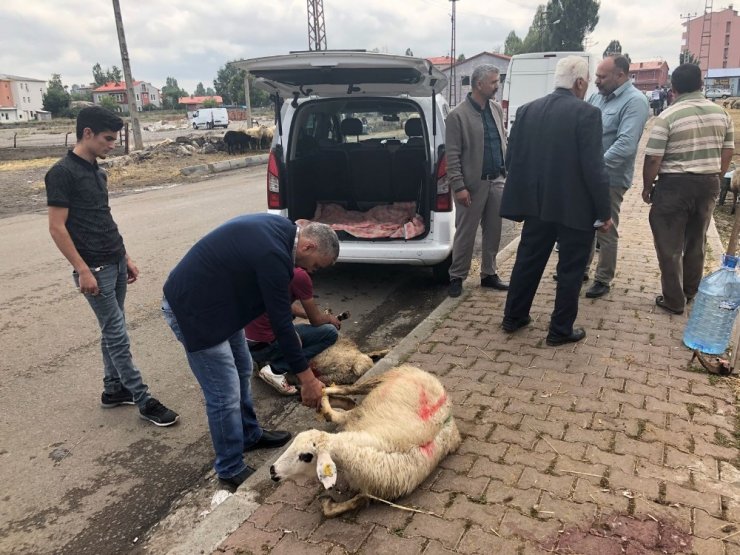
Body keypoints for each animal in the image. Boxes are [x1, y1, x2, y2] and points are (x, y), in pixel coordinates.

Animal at [268, 364, 460, 516]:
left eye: (306, 456)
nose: (272, 471)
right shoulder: (357, 418)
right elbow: (337, 415)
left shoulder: (374, 493)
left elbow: (350, 504)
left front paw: (327, 502)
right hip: (379, 382)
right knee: (348, 390)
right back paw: (323, 394)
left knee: (347, 394)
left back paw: (328, 397)